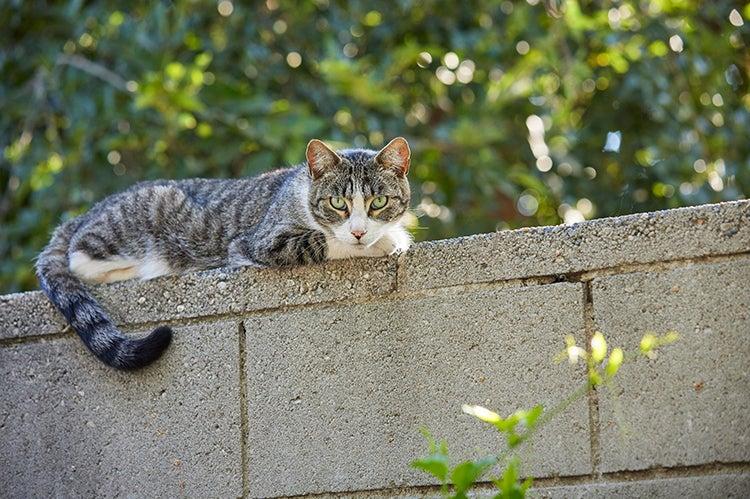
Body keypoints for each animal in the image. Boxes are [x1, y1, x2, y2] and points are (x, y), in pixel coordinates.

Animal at [35, 137, 414, 372]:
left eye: (378, 202)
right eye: (337, 203)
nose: (359, 230)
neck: (300, 190)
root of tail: (84, 214)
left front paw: (390, 235)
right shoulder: (261, 242)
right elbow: (323, 240)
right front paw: (383, 241)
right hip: (146, 213)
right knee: (79, 257)